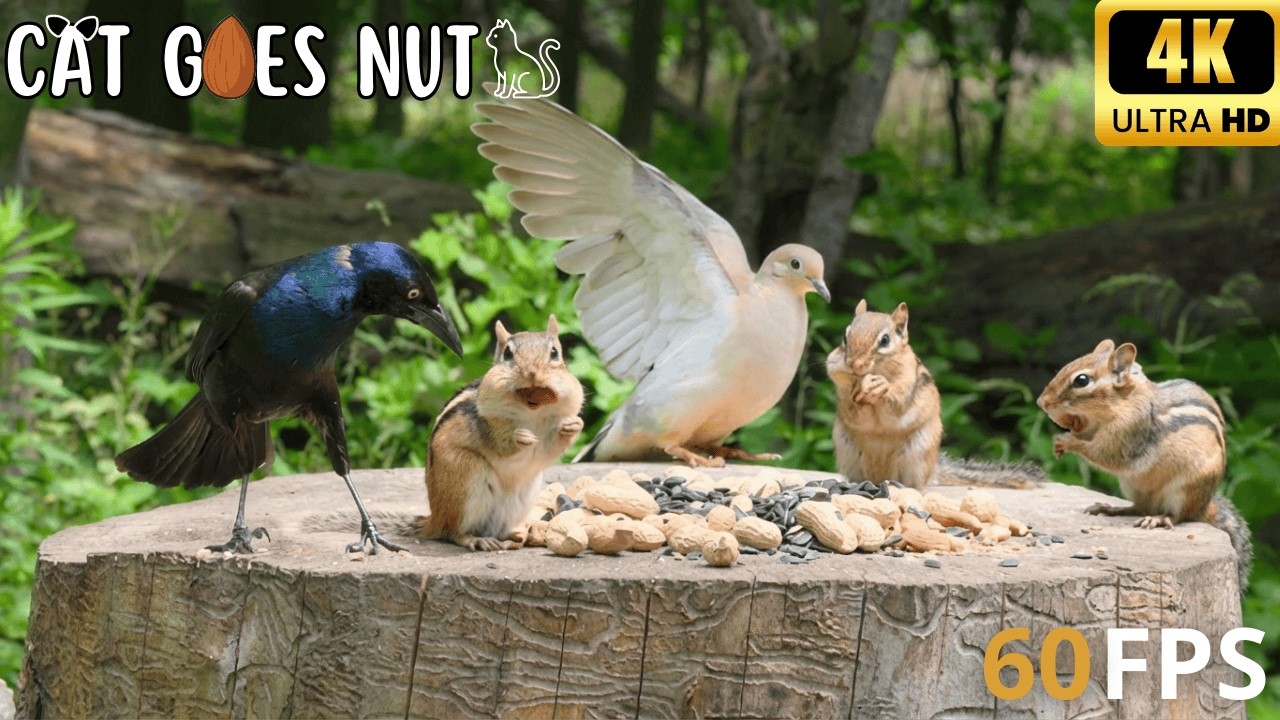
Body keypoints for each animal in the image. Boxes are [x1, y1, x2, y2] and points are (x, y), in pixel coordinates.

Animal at [418, 316, 584, 551]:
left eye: (554, 352)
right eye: (507, 354)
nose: (533, 373)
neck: (531, 413)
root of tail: (434, 518)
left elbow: (551, 449)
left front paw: (574, 425)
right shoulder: (486, 425)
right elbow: (500, 443)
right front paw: (520, 437)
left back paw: (516, 536)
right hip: (465, 478)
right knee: (452, 532)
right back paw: (476, 539)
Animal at [827, 299, 1046, 490]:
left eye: (885, 340)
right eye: (845, 337)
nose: (854, 365)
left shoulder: (909, 382)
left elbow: (897, 404)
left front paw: (882, 386)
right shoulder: (838, 375)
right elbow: (852, 409)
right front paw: (858, 393)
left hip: (918, 456)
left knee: (916, 485)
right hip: (846, 449)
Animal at [1037, 339, 1252, 591]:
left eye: (1081, 380)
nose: (1042, 402)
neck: (1124, 402)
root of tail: (1204, 505)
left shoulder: (1128, 432)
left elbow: (1104, 453)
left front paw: (1066, 441)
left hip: (1184, 489)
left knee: (1178, 516)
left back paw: (1159, 519)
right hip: (1132, 487)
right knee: (1139, 507)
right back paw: (1111, 509)